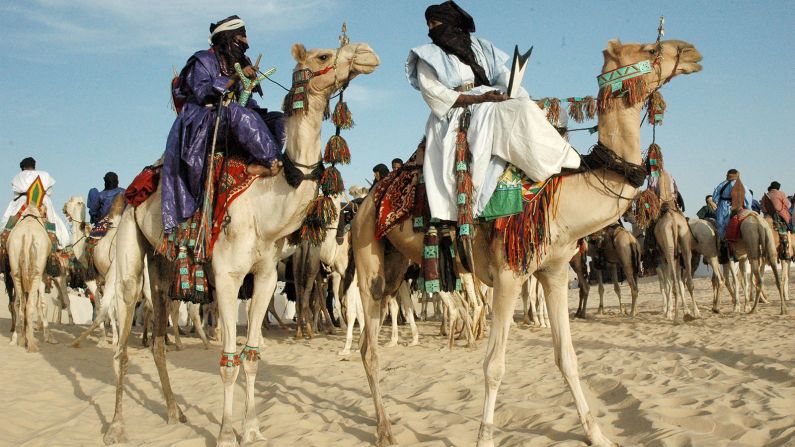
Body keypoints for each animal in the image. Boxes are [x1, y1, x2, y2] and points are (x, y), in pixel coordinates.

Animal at [352, 39, 700, 447]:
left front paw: (597, 434)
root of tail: (366, 203)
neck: (561, 194)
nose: (691, 52)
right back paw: (385, 431)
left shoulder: (553, 271)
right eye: (651, 48)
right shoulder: (507, 274)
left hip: (396, 268)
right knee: (369, 348)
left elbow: (567, 358)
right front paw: (485, 438)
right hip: (368, 260)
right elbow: (494, 366)